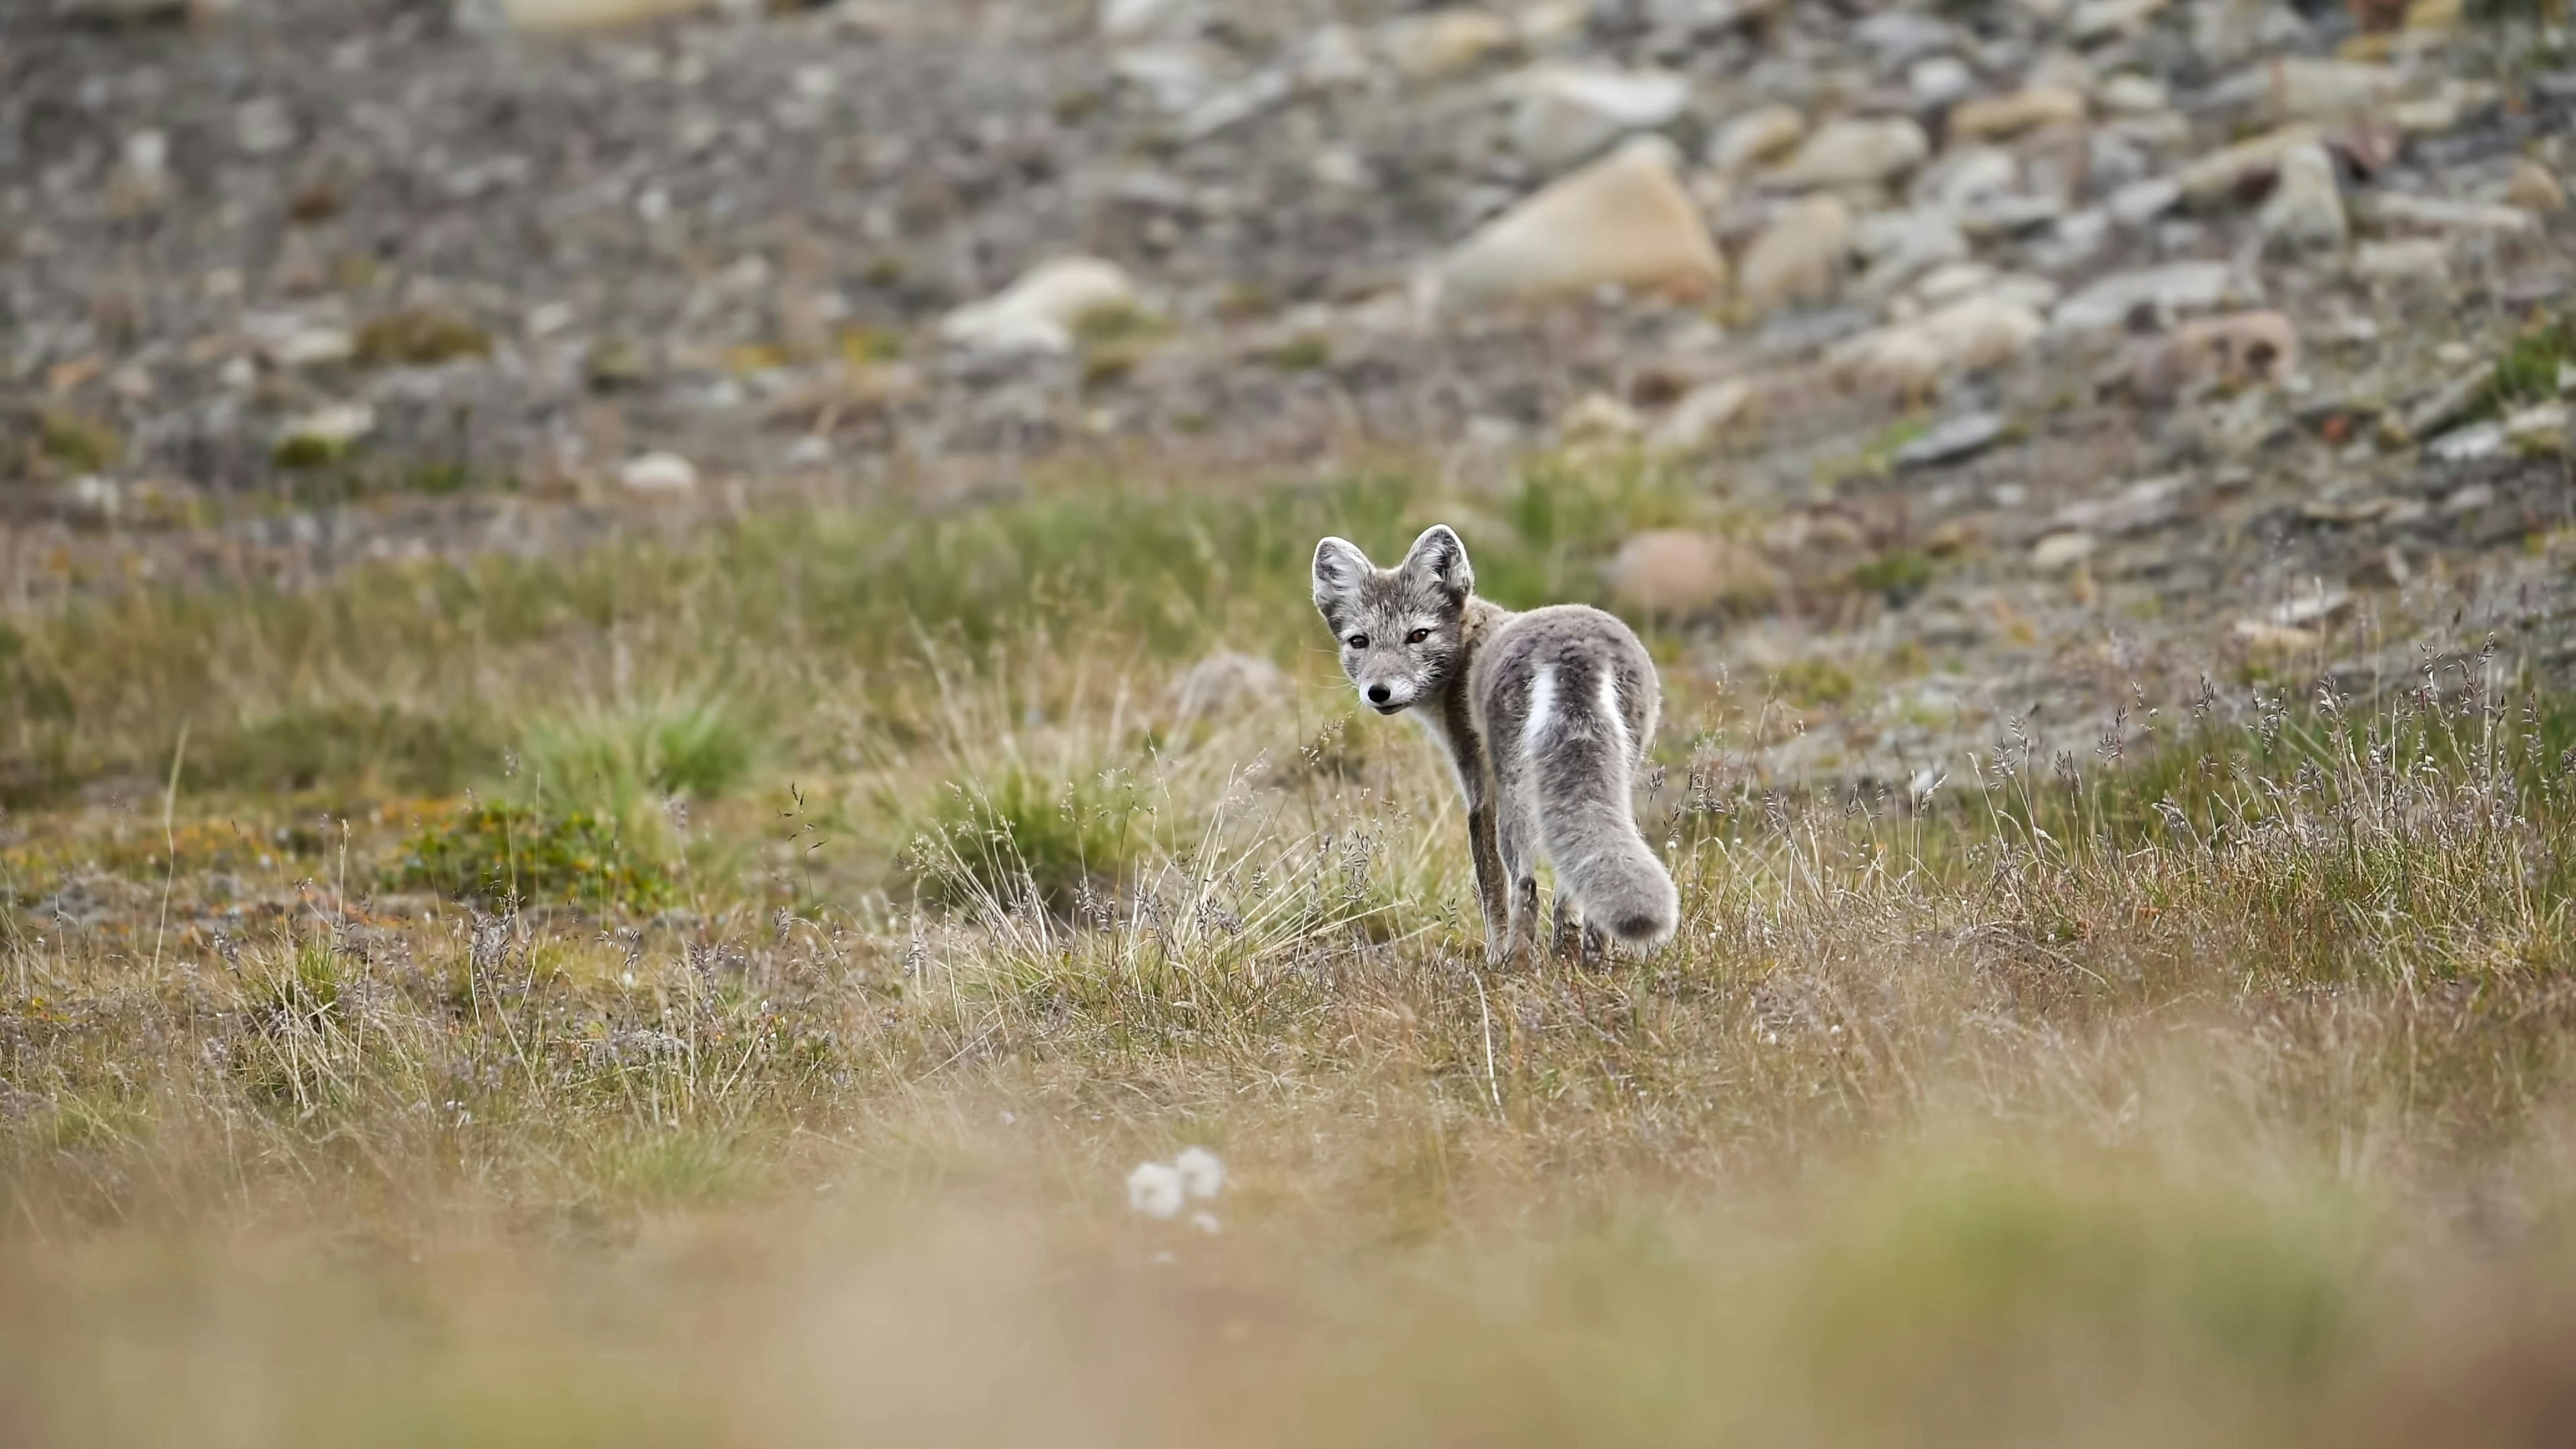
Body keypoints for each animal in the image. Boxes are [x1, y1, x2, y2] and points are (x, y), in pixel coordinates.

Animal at [1319, 523, 1679, 964]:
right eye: (1360, 642)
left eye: (1418, 635)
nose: (1379, 692)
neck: (1467, 645)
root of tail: (1574, 652)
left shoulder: (1478, 789)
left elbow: (1489, 883)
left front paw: (1493, 955)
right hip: (1613, 777)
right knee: (1571, 887)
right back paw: (1585, 962)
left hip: (1515, 792)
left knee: (1524, 882)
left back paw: (1516, 963)